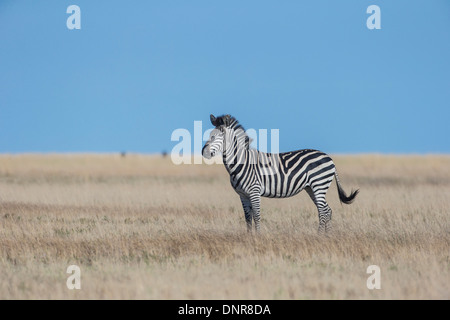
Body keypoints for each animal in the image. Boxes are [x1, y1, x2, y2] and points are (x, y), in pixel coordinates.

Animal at [201, 114, 358, 232]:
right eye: (210, 135)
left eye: (218, 136)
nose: (204, 152)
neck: (242, 162)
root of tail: (329, 158)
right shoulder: (243, 195)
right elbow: (247, 218)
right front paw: (249, 237)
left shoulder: (254, 191)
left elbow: (257, 216)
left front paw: (257, 238)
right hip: (311, 188)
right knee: (327, 210)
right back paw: (327, 236)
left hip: (319, 185)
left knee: (323, 212)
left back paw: (319, 236)